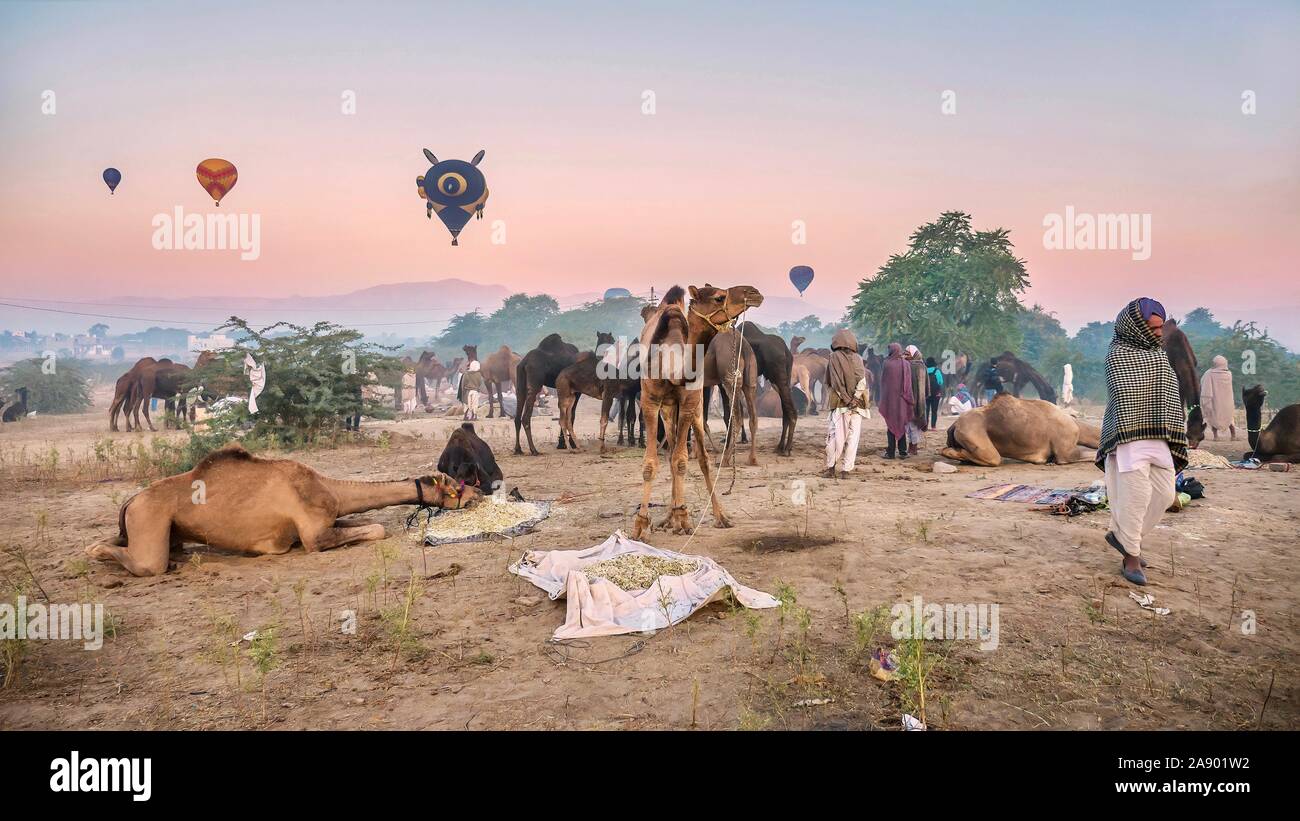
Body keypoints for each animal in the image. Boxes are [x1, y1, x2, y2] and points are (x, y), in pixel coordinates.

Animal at [86, 441, 483, 576]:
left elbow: (366, 520)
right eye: (454, 485)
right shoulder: (313, 535)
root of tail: (132, 500)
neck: (329, 488)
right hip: (149, 521)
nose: (477, 495)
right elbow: (376, 528)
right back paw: (98, 552)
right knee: (143, 561)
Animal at [629, 281, 759, 537]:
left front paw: (684, 517)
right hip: (672, 408)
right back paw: (668, 518)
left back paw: (718, 515)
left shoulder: (690, 404)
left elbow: (681, 461)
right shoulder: (650, 402)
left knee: (703, 456)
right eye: (719, 297)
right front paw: (641, 524)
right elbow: (652, 463)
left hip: (705, 399)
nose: (753, 293)